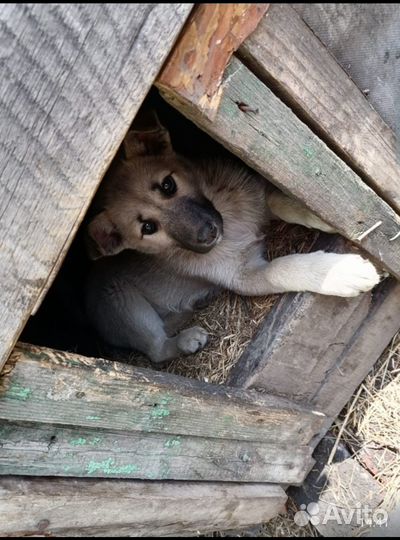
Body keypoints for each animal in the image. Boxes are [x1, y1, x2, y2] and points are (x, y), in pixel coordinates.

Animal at [86, 112, 380, 362]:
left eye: (167, 185)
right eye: (148, 228)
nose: (208, 233)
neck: (230, 223)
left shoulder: (256, 197)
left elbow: (279, 202)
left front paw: (318, 213)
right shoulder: (242, 277)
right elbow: (280, 269)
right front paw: (338, 272)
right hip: (121, 300)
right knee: (156, 350)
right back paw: (184, 340)